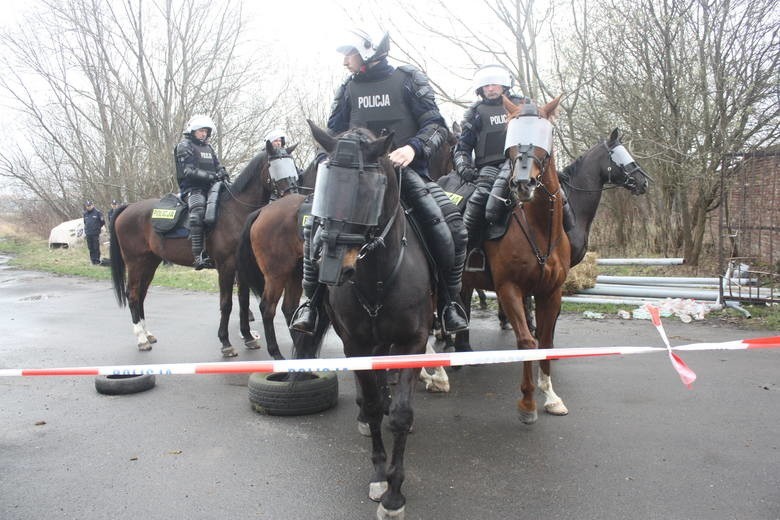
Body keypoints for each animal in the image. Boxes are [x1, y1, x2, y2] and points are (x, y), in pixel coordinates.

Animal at [106, 144, 296, 360]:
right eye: (274, 166)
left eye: (292, 164)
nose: (293, 193)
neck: (236, 211)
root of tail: (128, 207)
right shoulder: (226, 267)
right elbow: (226, 304)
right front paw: (226, 343)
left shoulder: (240, 270)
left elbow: (243, 301)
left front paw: (248, 337)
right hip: (135, 263)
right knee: (132, 295)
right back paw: (141, 338)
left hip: (149, 263)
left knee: (141, 294)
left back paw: (147, 334)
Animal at [308, 120, 436, 516]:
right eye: (325, 187)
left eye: (369, 192)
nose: (333, 269)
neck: (378, 276)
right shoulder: (357, 344)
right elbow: (376, 406)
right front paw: (380, 476)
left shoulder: (412, 343)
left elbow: (401, 414)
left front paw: (395, 492)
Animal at [458, 95, 568, 424]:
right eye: (512, 133)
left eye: (545, 132)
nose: (522, 183)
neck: (538, 228)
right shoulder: (509, 290)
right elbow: (527, 342)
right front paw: (528, 403)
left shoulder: (550, 292)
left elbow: (545, 343)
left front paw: (551, 396)